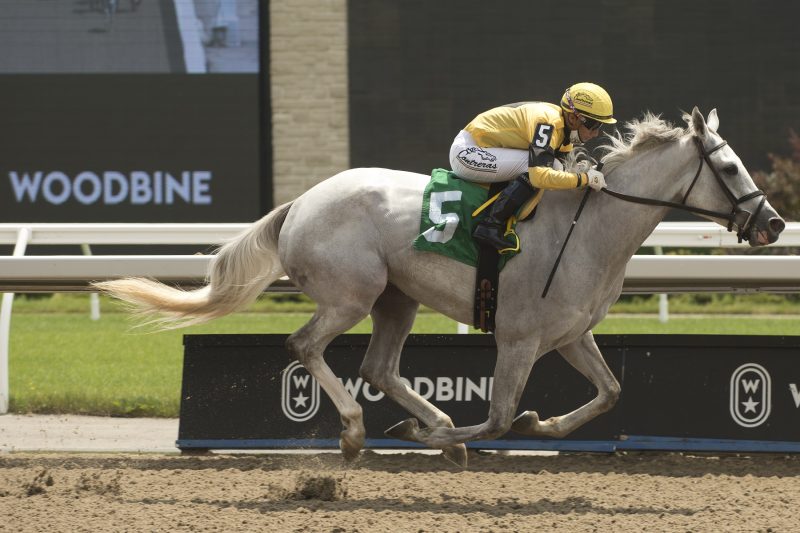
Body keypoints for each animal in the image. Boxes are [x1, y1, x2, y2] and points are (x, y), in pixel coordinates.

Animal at [95, 108, 788, 466]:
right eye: (730, 167)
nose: (775, 223)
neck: (590, 226)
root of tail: (301, 202)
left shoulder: (571, 335)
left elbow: (609, 394)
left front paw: (538, 424)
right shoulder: (518, 338)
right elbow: (500, 417)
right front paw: (442, 436)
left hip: (396, 299)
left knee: (378, 368)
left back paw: (420, 423)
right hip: (352, 293)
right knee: (305, 347)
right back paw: (357, 433)